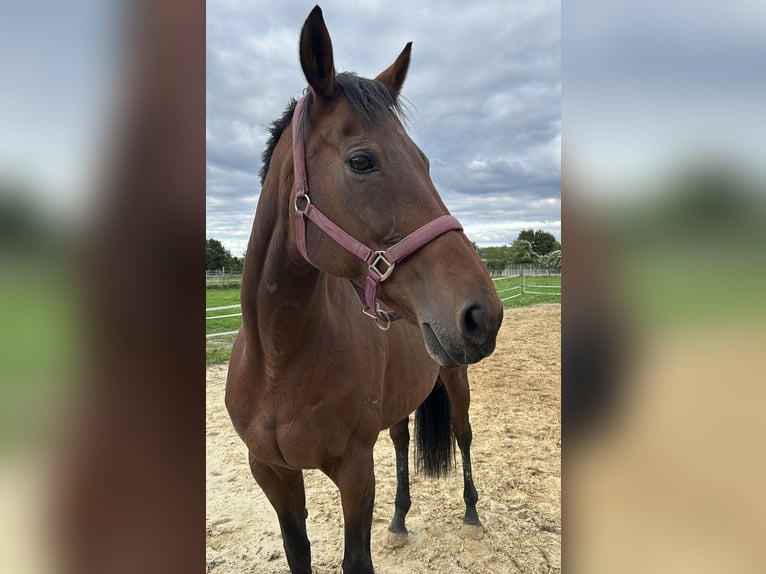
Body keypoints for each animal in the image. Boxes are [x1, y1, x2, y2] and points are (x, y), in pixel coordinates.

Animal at [225, 5, 508, 574]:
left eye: (425, 162)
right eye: (361, 161)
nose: (483, 313)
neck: (278, 361)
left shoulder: (354, 472)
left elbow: (356, 559)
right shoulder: (272, 473)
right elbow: (298, 552)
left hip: (457, 379)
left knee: (464, 436)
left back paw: (471, 514)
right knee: (400, 440)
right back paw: (398, 521)